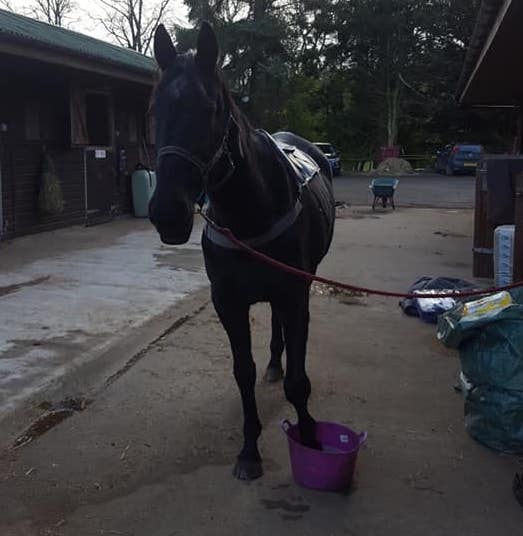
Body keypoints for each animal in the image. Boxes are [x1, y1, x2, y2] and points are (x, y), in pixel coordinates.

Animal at [149, 23, 336, 480]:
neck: (252, 210)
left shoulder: (295, 295)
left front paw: (309, 438)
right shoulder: (228, 302)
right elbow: (243, 373)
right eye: (154, 109)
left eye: (210, 108)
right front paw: (249, 450)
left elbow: (299, 381)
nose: (167, 214)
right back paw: (273, 364)